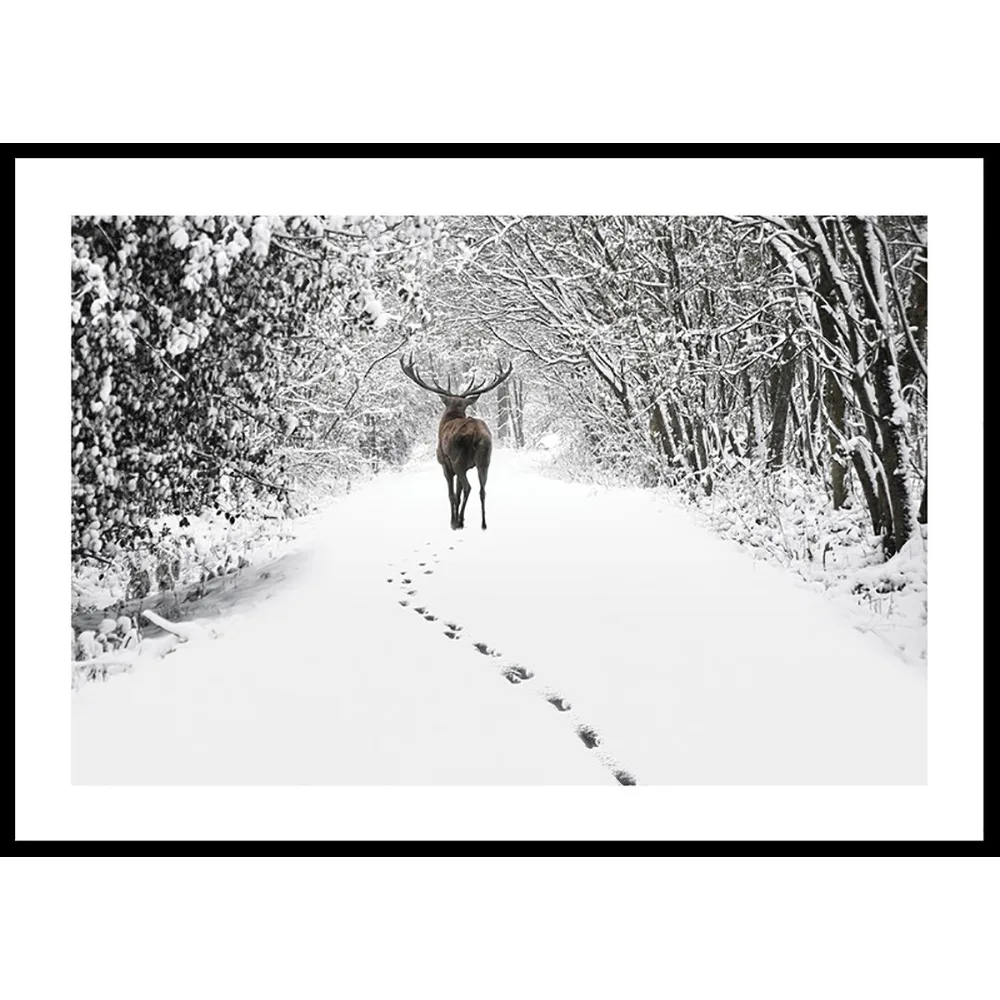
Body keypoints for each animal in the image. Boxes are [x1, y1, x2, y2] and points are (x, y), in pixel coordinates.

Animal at [400, 355, 514, 530]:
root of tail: (476, 434)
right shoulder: (467, 466)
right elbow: (458, 494)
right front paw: (460, 519)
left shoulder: (445, 465)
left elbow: (452, 495)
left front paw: (453, 521)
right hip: (485, 459)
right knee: (482, 490)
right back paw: (483, 524)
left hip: (457, 459)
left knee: (468, 487)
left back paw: (458, 522)